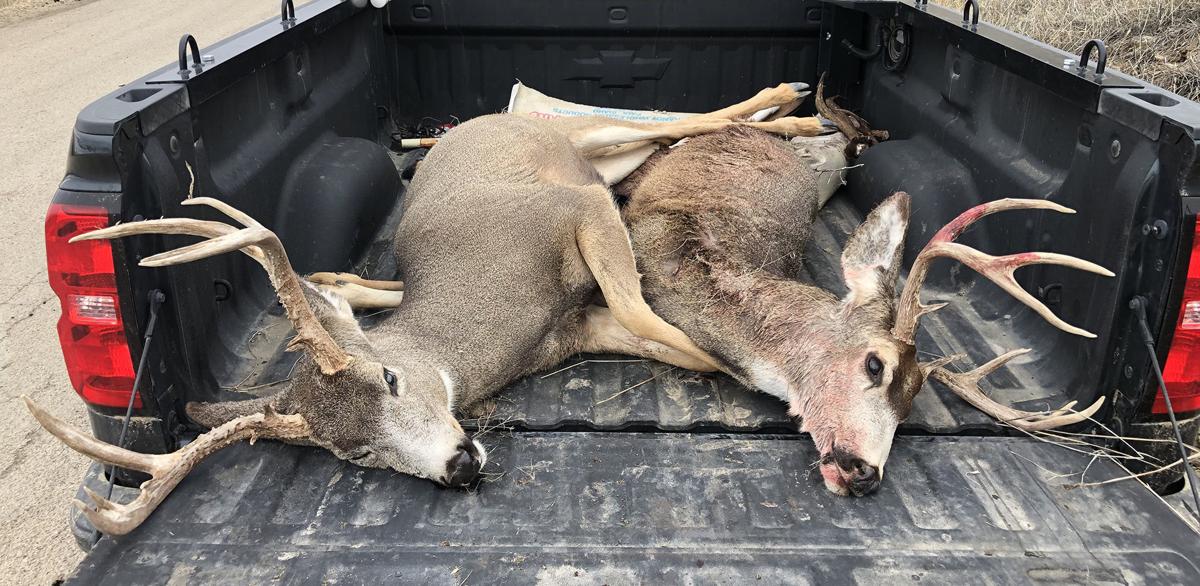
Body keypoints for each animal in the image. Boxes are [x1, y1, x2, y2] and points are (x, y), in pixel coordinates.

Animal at [24, 82, 831, 535]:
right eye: (354, 453)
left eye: (388, 379)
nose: (459, 466)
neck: (499, 316)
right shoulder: (578, 327)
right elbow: (660, 337)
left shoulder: (574, 209)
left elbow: (648, 313)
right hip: (604, 162)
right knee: (673, 130)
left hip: (584, 143)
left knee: (679, 120)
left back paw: (798, 108)